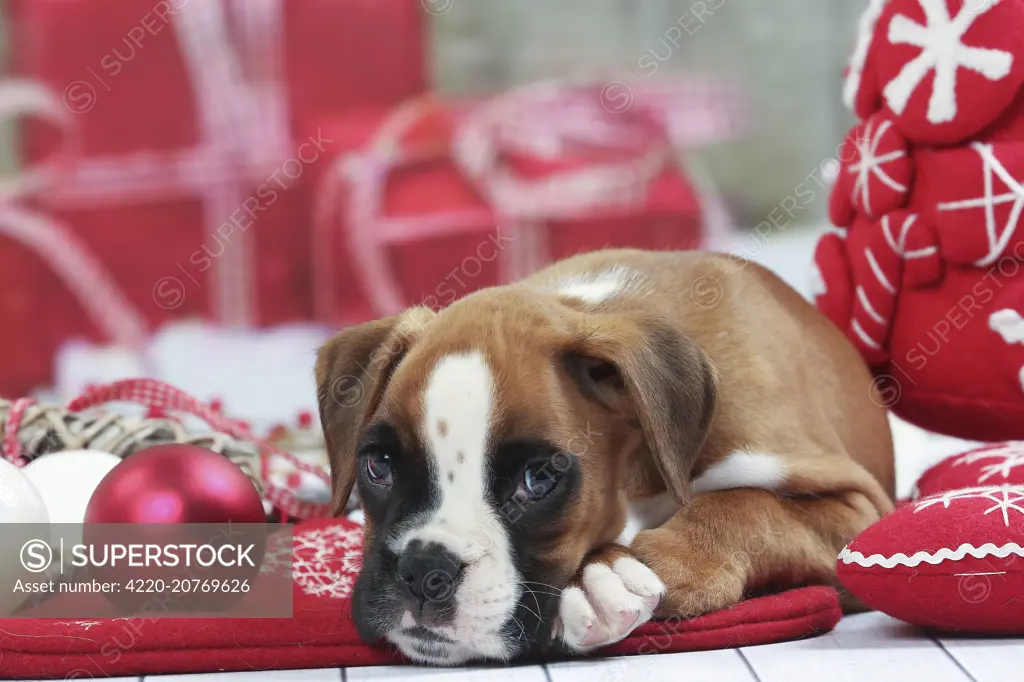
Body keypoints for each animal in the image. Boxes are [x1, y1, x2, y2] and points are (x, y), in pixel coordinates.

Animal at [315, 246, 892, 659]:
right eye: (378, 465)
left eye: (538, 479)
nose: (423, 569)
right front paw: (601, 575)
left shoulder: (858, 508)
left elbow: (750, 505)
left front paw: (659, 562)